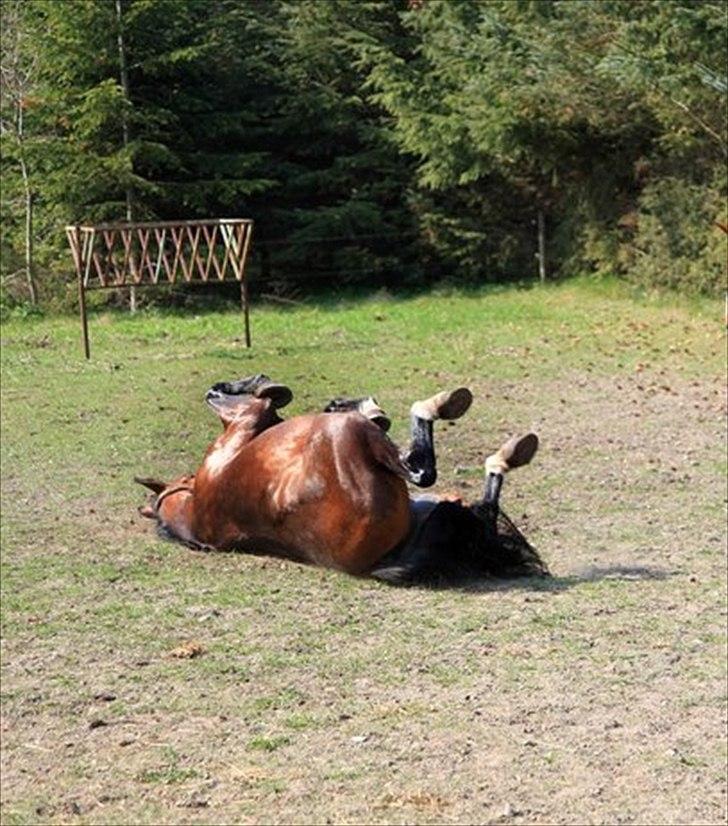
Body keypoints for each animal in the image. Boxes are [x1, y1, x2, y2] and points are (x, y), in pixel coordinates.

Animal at [138, 374, 544, 580]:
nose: (218, 389)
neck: (196, 513)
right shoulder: (244, 420)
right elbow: (262, 400)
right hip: (355, 437)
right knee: (422, 469)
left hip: (439, 509)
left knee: (480, 507)